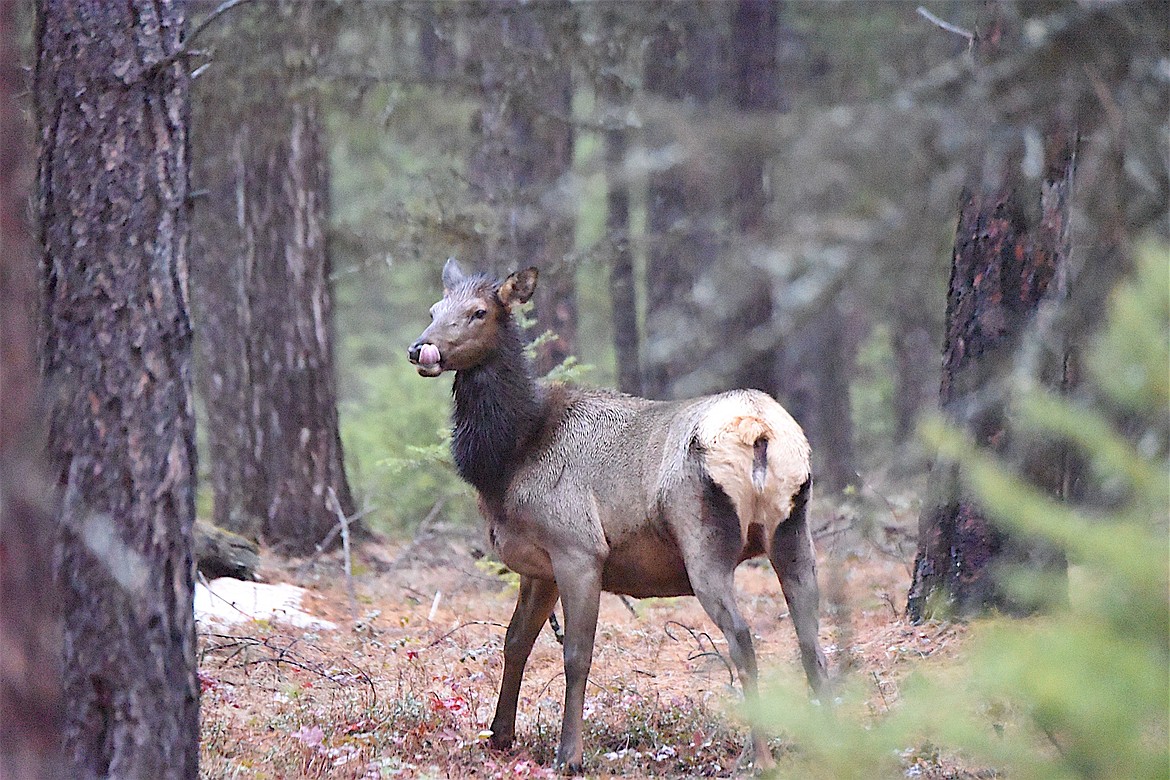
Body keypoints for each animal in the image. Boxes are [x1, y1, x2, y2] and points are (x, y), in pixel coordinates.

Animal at [407, 260, 828, 776]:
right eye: (434, 309)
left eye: (478, 312)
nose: (419, 348)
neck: (508, 460)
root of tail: (760, 430)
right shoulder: (538, 566)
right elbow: (515, 641)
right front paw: (499, 735)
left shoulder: (578, 548)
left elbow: (576, 654)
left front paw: (569, 754)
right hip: (794, 530)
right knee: (810, 638)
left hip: (703, 540)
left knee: (743, 638)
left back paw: (762, 757)